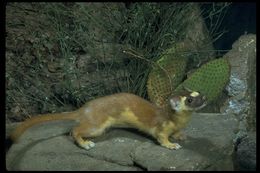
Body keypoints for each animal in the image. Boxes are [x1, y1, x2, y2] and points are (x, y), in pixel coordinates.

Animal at [10, 91, 206, 149]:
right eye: (189, 100)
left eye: (198, 93)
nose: (204, 98)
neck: (179, 121)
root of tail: (85, 108)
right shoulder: (161, 127)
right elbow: (161, 138)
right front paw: (172, 145)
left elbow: (178, 132)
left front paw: (181, 136)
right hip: (97, 126)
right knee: (75, 130)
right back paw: (86, 144)